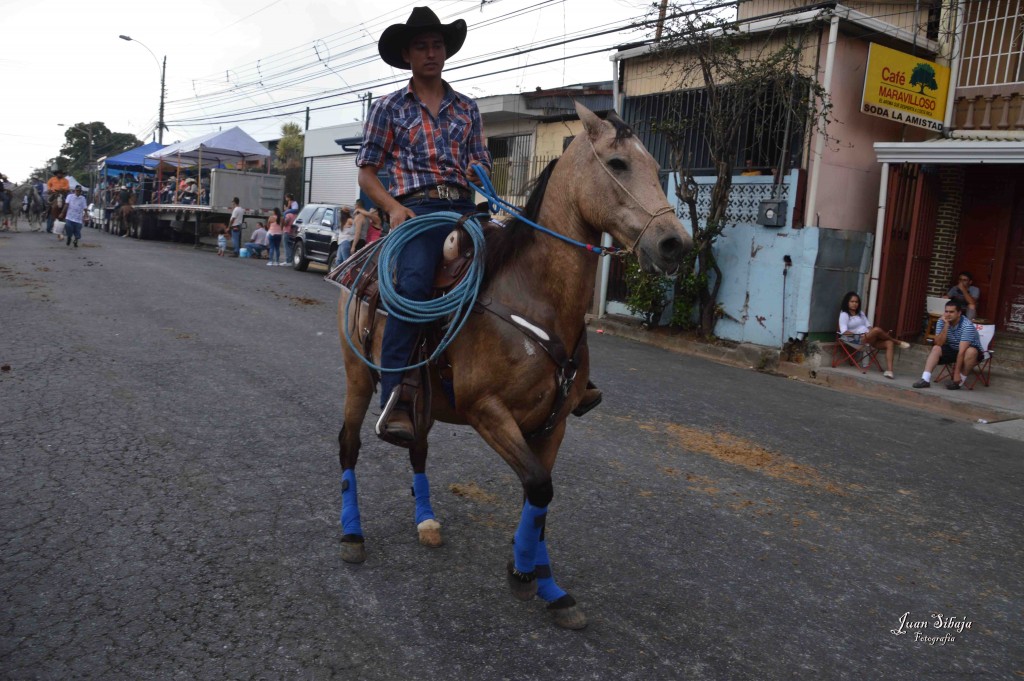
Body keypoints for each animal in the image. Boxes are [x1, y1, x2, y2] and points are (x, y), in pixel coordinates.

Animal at [335, 103, 696, 630]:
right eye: (618, 163)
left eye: (654, 164)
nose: (674, 244)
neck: (535, 297)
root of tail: (367, 252)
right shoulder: (488, 412)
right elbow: (539, 487)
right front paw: (524, 574)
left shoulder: (554, 424)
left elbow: (538, 496)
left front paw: (549, 585)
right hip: (358, 377)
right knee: (349, 446)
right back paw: (352, 535)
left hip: (422, 397)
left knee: (417, 447)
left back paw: (426, 521)